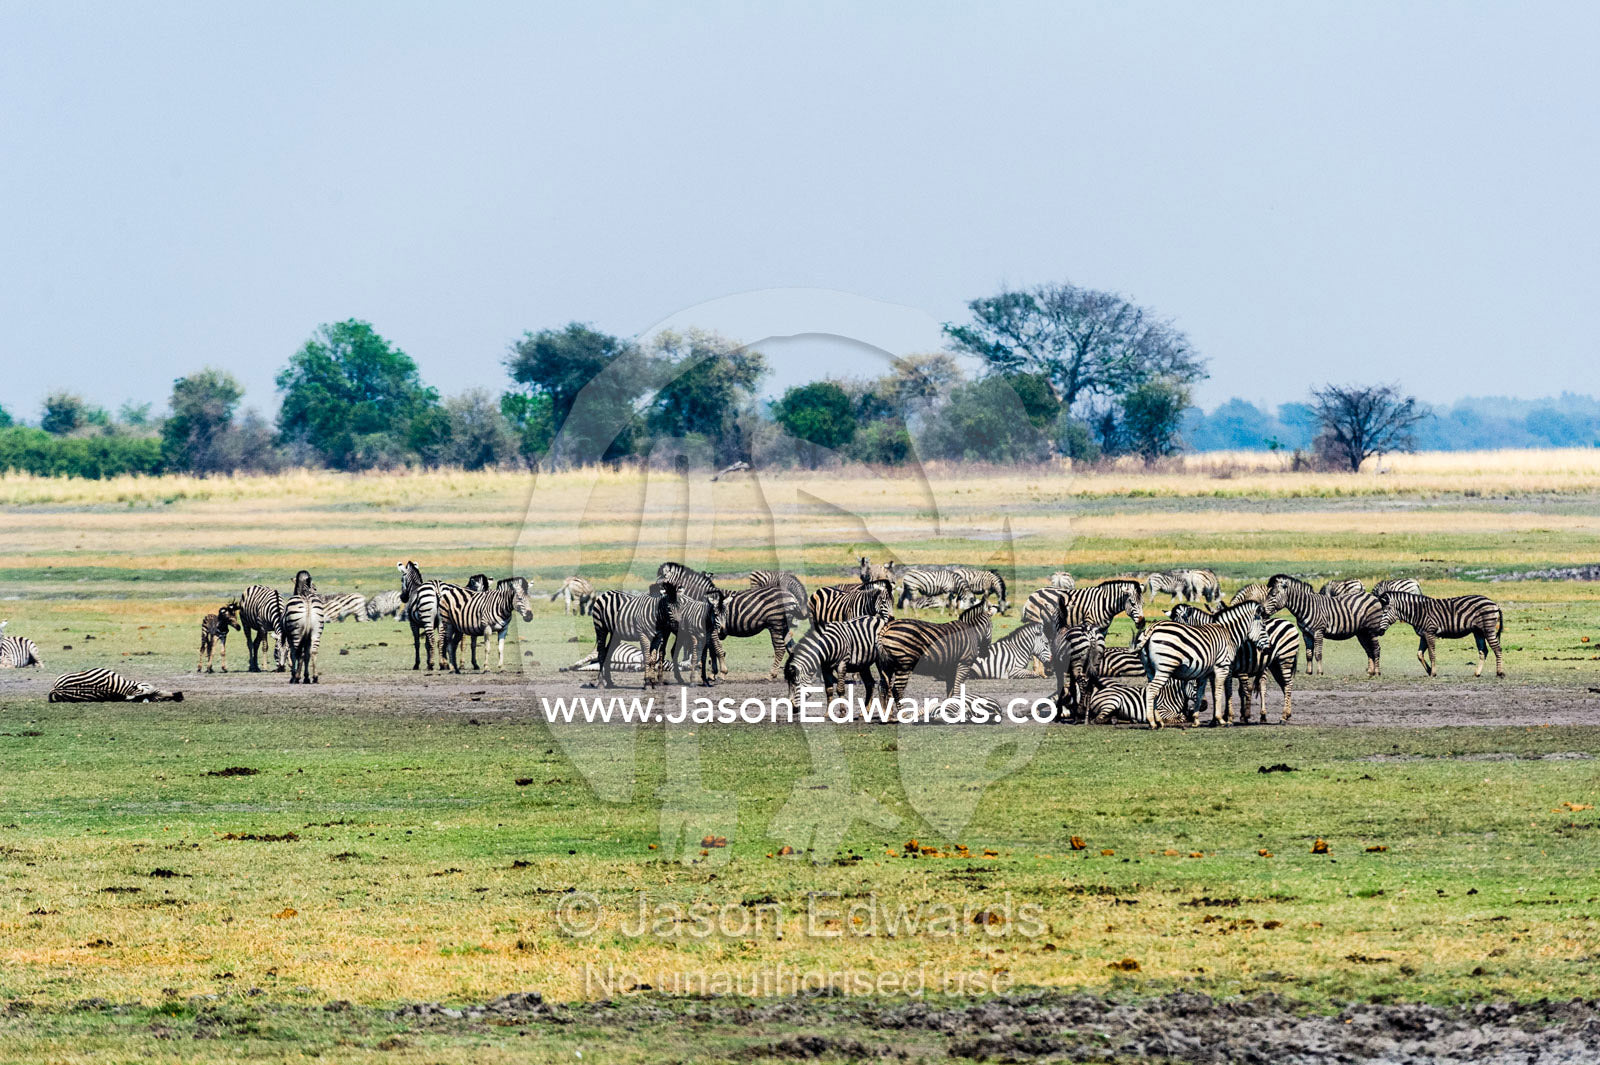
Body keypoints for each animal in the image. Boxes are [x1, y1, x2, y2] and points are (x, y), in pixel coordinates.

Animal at [1138, 601, 1271, 728]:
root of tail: (1153, 628)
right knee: (1151, 690)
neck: (1229, 633)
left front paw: (1197, 719)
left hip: (1150, 670)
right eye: (1263, 626)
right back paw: (1152, 722)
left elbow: (1202, 693)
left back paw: (1159, 721)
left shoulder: (1206, 673)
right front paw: (1222, 719)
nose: (1269, 649)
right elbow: (1220, 691)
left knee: (1154, 691)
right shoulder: (1223, 667)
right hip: (1165, 668)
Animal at [1170, 603, 1300, 724]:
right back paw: (1285, 714)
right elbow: (1216, 692)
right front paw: (1216, 718)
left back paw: (1282, 716)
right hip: (1274, 665)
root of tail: (1288, 623)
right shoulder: (1214, 673)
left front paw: (1229, 717)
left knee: (1287, 684)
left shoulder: (1230, 668)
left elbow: (1230, 691)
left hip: (1285, 659)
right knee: (1283, 686)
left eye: (1181, 627)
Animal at [1376, 590, 1505, 678]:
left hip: (1488, 628)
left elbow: (1431, 654)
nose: (1379, 631)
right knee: (1484, 651)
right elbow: (1419, 654)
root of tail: (1494, 604)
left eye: (1385, 611)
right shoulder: (1423, 635)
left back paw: (1500, 673)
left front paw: (1433, 672)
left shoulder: (1430, 632)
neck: (1418, 612)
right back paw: (1477, 673)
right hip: (1478, 631)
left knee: (1497, 649)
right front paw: (1429, 670)